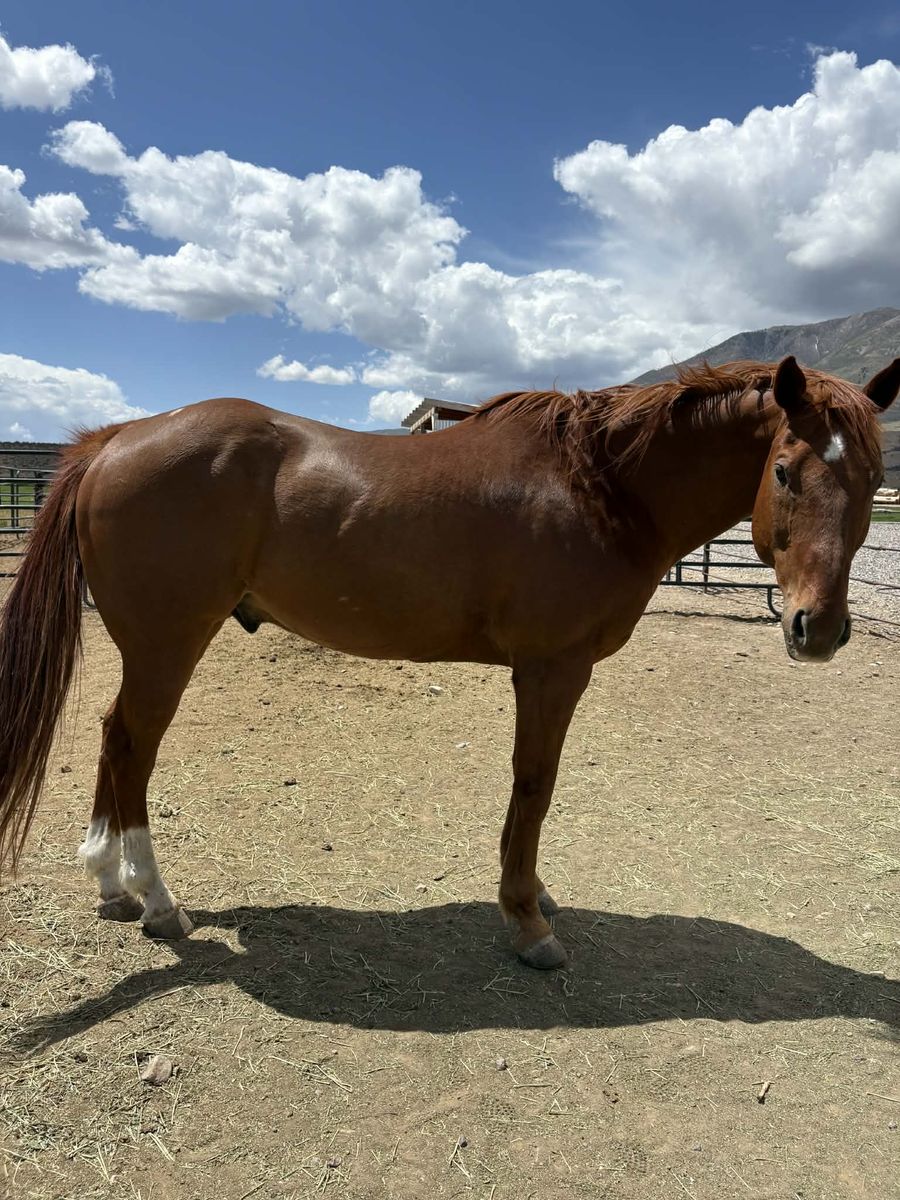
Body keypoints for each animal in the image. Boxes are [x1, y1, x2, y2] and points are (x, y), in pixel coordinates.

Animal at [0, 355, 896, 969]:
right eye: (784, 471)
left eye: (875, 480)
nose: (818, 629)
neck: (603, 486)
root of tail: (116, 441)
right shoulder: (552, 669)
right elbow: (534, 786)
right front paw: (527, 918)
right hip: (168, 643)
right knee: (133, 745)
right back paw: (157, 902)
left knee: (114, 738)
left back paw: (111, 884)